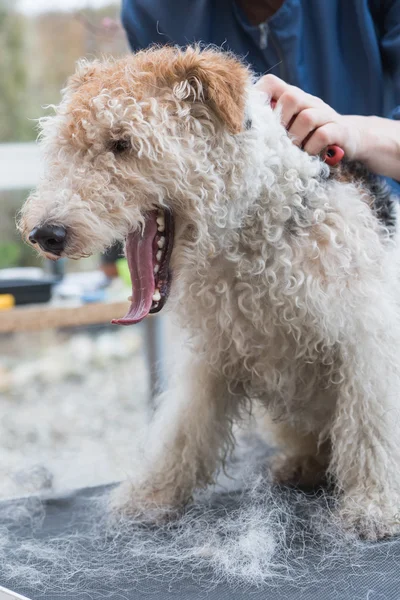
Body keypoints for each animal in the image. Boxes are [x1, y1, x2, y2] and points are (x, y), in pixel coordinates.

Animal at [19, 44, 400, 536]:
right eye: (63, 146)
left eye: (122, 143)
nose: (45, 234)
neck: (254, 235)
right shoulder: (213, 355)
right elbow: (182, 430)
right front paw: (149, 496)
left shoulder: (367, 343)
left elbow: (371, 428)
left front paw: (374, 506)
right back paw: (299, 466)